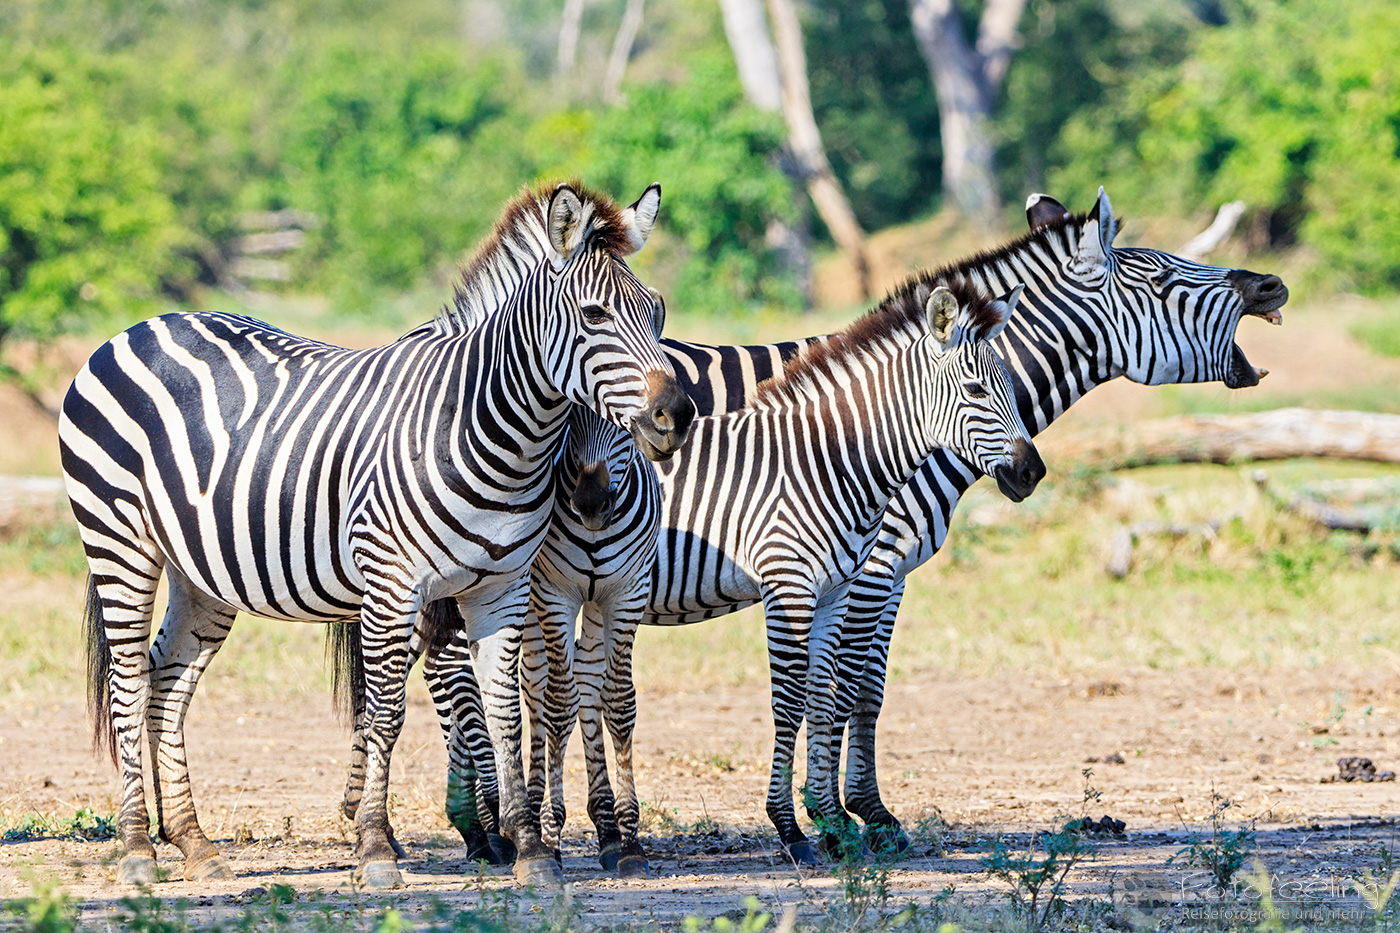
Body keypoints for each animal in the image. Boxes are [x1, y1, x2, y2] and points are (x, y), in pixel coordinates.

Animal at [58, 179, 695, 890]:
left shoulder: (500, 589)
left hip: (202, 573)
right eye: (594, 315)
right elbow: (386, 711)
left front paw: (530, 850)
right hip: (119, 541)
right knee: (126, 683)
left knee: (167, 683)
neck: (487, 428)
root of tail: (140, 326)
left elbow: (504, 711)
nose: (676, 415)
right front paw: (375, 848)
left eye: (658, 312)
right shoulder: (393, 586)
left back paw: (194, 843)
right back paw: (138, 849)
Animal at [658, 188, 1288, 853]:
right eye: (1164, 278)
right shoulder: (874, 564)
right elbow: (845, 687)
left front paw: (856, 813)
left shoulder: (882, 569)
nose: (1272, 285)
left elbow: (866, 689)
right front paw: (849, 817)